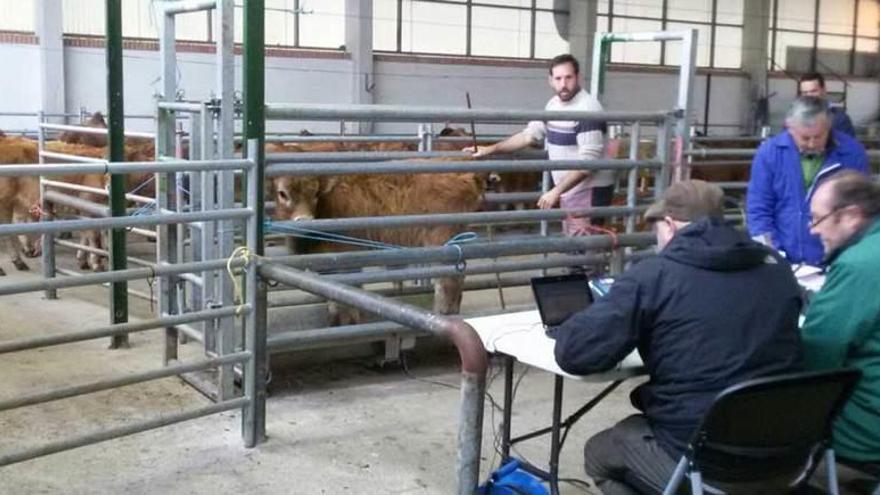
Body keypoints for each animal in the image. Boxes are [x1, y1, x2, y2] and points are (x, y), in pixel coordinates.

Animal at [272, 172, 484, 328]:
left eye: (315, 193)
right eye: (282, 193)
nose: (304, 221)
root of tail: (465, 177)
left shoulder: (345, 257)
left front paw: (349, 320)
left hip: (442, 245)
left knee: (446, 282)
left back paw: (442, 314)